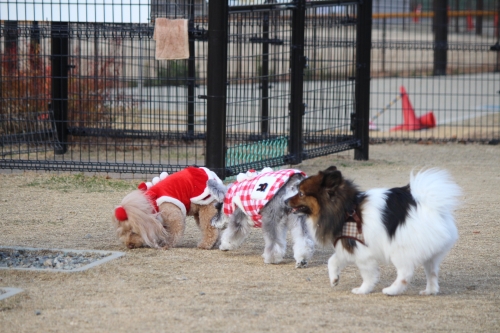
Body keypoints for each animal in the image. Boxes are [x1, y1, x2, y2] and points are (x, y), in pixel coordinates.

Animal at [286, 167, 460, 294]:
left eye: (300, 193)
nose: (285, 200)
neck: (345, 211)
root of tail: (431, 206)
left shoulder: (362, 252)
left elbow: (368, 275)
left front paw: (363, 290)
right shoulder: (347, 245)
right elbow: (332, 261)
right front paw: (334, 279)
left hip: (400, 251)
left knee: (405, 274)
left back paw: (391, 290)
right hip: (430, 254)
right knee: (432, 273)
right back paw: (429, 291)